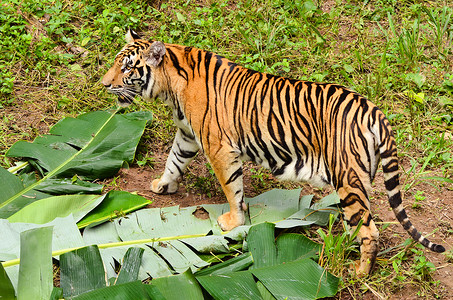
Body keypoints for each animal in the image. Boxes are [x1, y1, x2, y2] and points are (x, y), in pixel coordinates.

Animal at [100, 29, 444, 276]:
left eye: (127, 67)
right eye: (116, 62)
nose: (104, 84)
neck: (170, 86)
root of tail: (374, 110)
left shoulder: (219, 147)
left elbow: (232, 187)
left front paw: (233, 221)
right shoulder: (187, 135)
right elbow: (174, 160)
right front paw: (162, 186)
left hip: (347, 177)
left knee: (370, 230)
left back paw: (359, 272)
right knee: (361, 222)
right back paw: (346, 244)